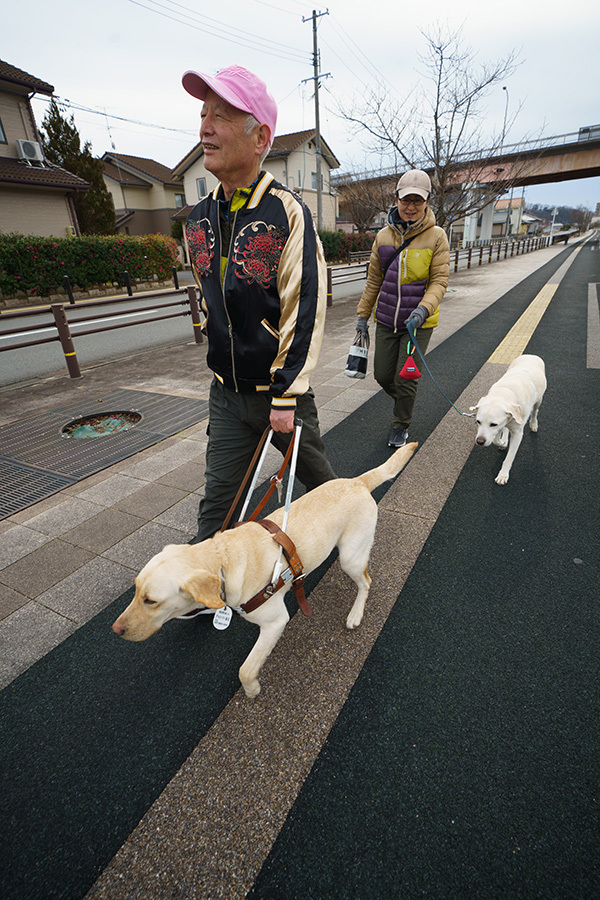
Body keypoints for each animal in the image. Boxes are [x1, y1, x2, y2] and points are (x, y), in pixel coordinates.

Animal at [112, 446, 418, 700]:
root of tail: (357, 481)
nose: (116, 630)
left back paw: (355, 614)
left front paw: (252, 689)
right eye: (135, 590)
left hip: (351, 559)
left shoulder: (275, 622)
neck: (223, 560)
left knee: (366, 581)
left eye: (151, 600)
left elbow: (245, 669)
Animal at [472, 356, 548, 488]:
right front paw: (503, 443)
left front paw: (503, 475)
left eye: (493, 424)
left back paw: (533, 424)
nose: (479, 442)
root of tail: (531, 355)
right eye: (478, 421)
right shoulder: (502, 424)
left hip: (539, 399)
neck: (505, 392)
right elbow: (496, 440)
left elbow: (509, 457)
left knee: (535, 411)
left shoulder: (516, 433)